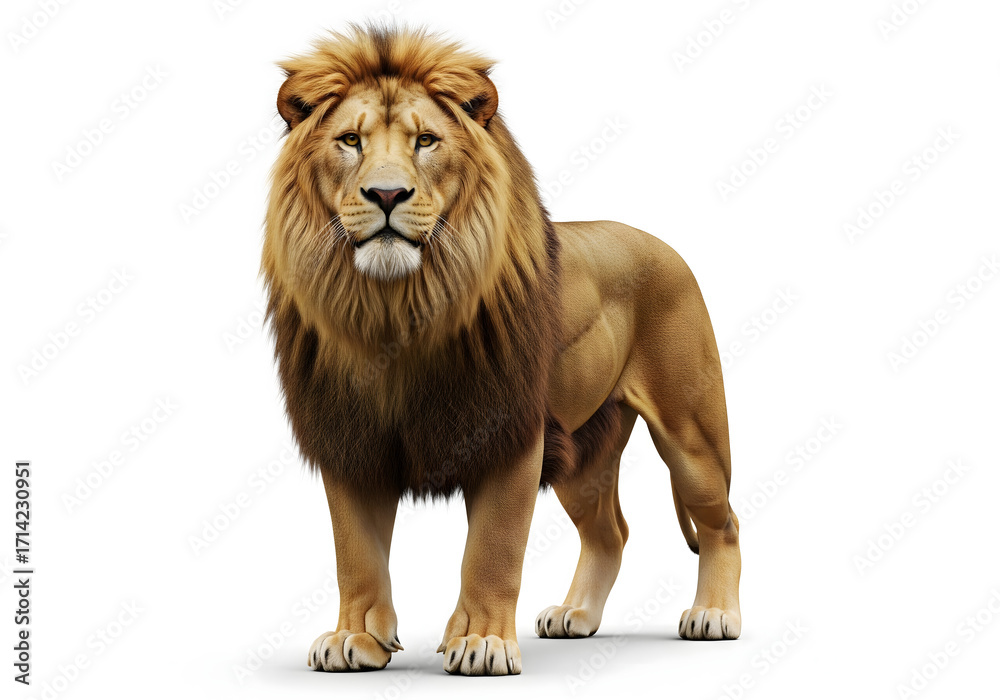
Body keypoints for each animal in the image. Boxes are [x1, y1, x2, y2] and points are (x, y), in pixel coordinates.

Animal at [262, 25, 741, 676]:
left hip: (691, 433)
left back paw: (714, 615)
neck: (395, 312)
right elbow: (355, 551)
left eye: (427, 141)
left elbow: (492, 547)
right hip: (584, 452)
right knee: (610, 532)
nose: (386, 193)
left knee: (723, 520)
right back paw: (576, 615)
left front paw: (480, 643)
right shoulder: (349, 436)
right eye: (350, 141)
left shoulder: (511, 433)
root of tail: (658, 242)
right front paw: (354, 638)